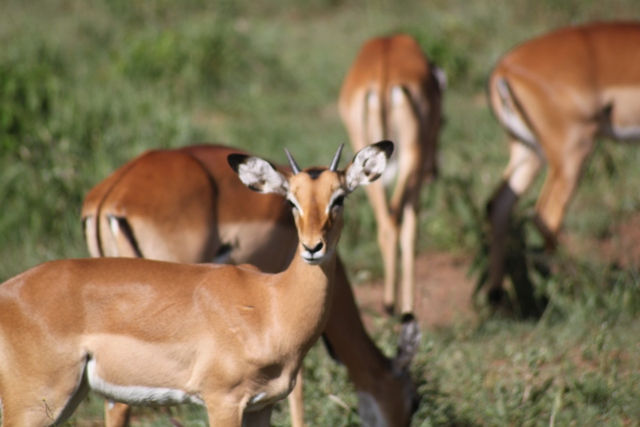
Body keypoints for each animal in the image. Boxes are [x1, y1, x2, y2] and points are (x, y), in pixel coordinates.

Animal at [339, 34, 445, 315]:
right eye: (443, 122)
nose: (434, 172)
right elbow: (411, 228)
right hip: (411, 156)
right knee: (397, 220)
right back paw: (397, 306)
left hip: (364, 158)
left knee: (385, 222)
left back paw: (388, 303)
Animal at [486, 21, 640, 304]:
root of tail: (505, 68)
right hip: (574, 152)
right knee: (546, 215)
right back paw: (577, 290)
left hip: (530, 152)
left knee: (498, 205)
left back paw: (497, 297)